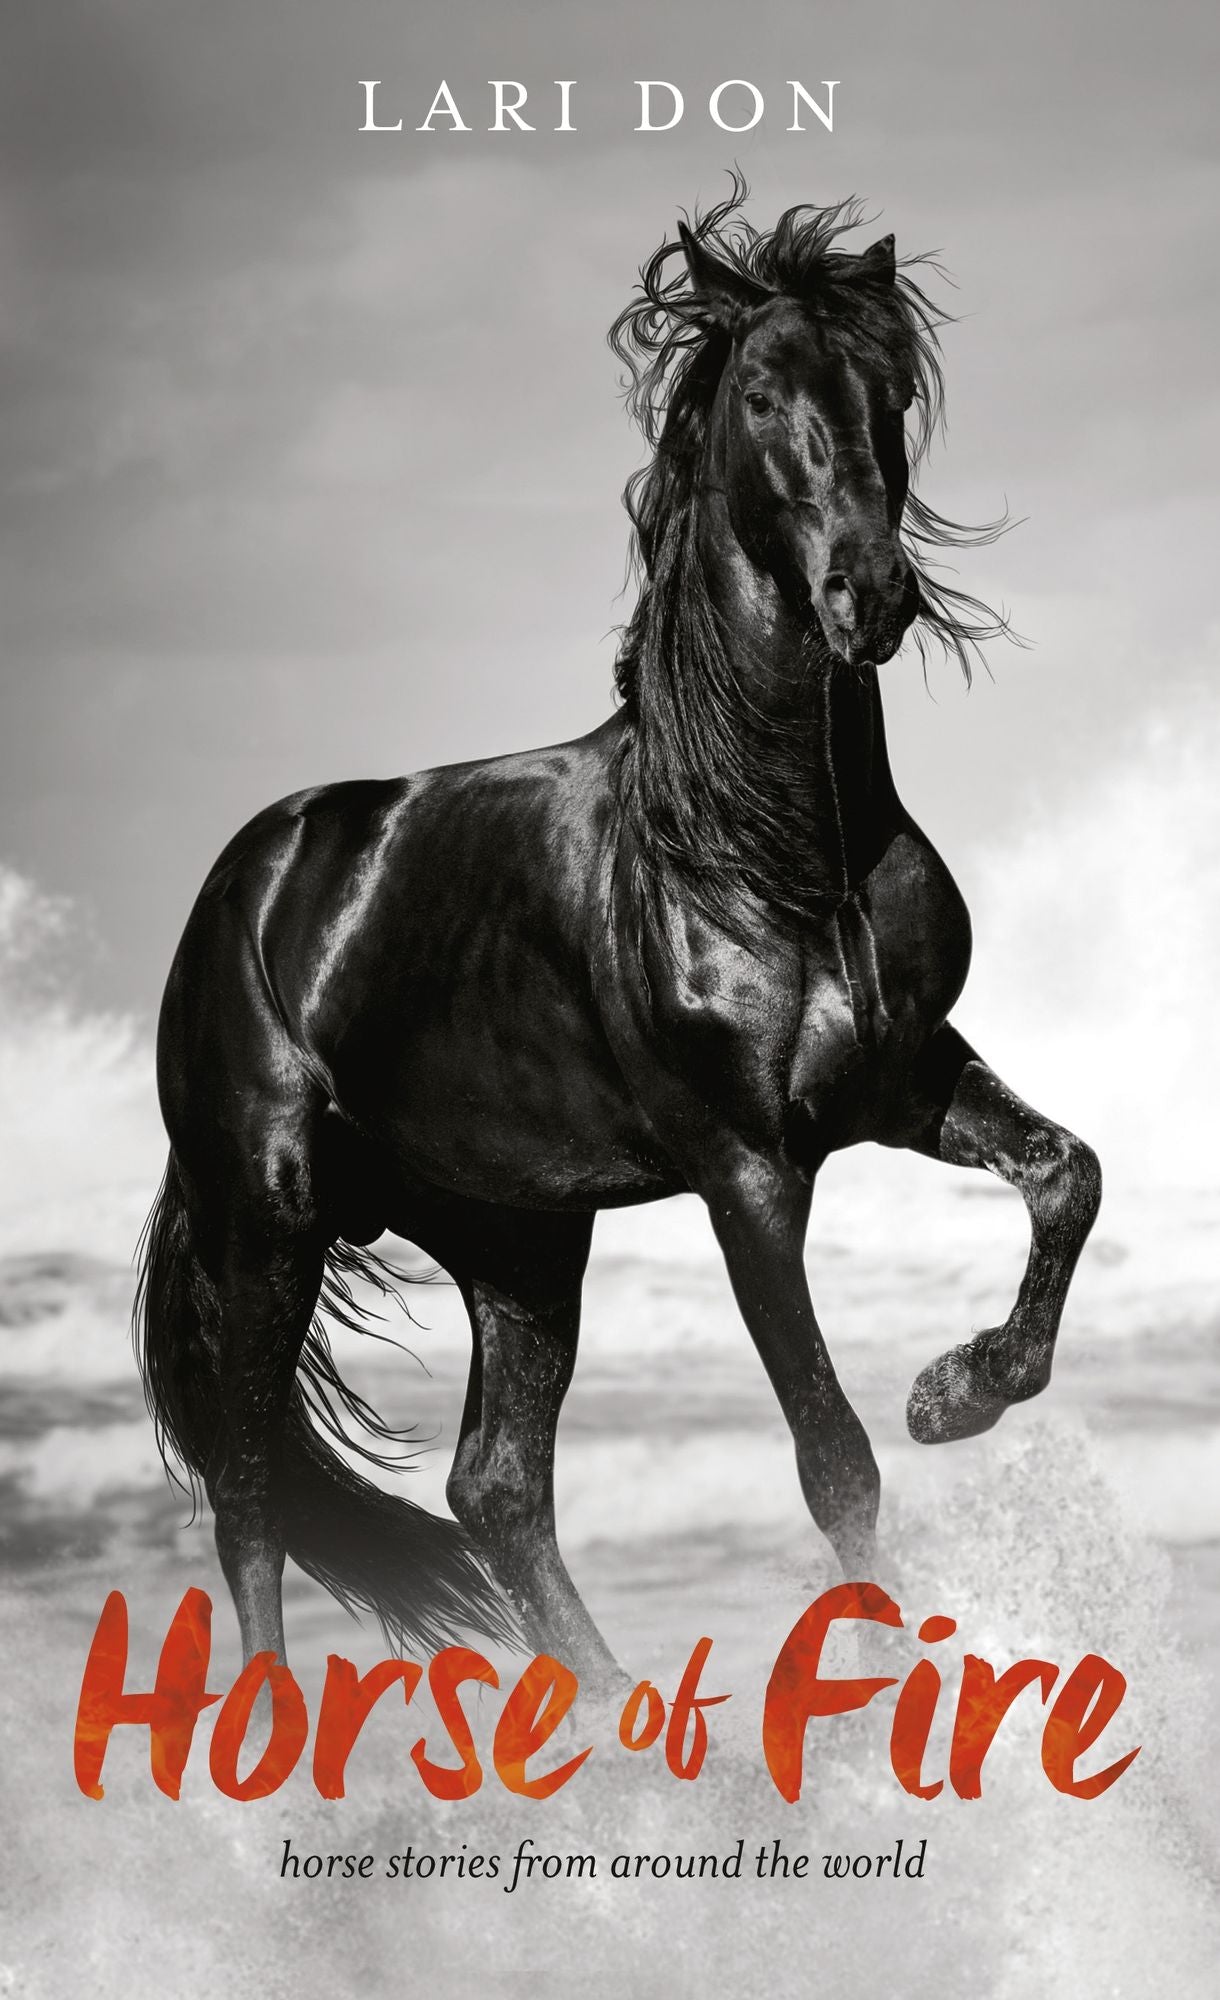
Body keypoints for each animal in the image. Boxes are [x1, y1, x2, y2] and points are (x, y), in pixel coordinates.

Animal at [135, 183, 1101, 1698]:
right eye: (762, 394)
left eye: (887, 390)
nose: (869, 594)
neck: (769, 847)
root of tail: (251, 878)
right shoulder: (745, 1168)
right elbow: (833, 1460)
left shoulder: (906, 1081)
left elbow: (1067, 1176)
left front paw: (955, 1391)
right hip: (267, 1214)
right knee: (248, 1497)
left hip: (518, 1242)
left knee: (495, 1487)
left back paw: (619, 1726)